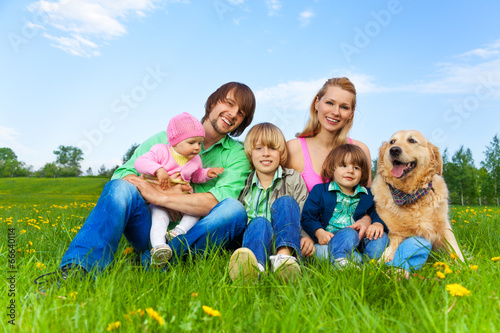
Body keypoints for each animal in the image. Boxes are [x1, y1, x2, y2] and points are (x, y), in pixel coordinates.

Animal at [372, 130, 464, 262]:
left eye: (412, 140)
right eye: (392, 142)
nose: (394, 150)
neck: (410, 194)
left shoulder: (444, 226)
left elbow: (455, 250)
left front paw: (464, 265)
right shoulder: (397, 233)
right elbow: (388, 252)